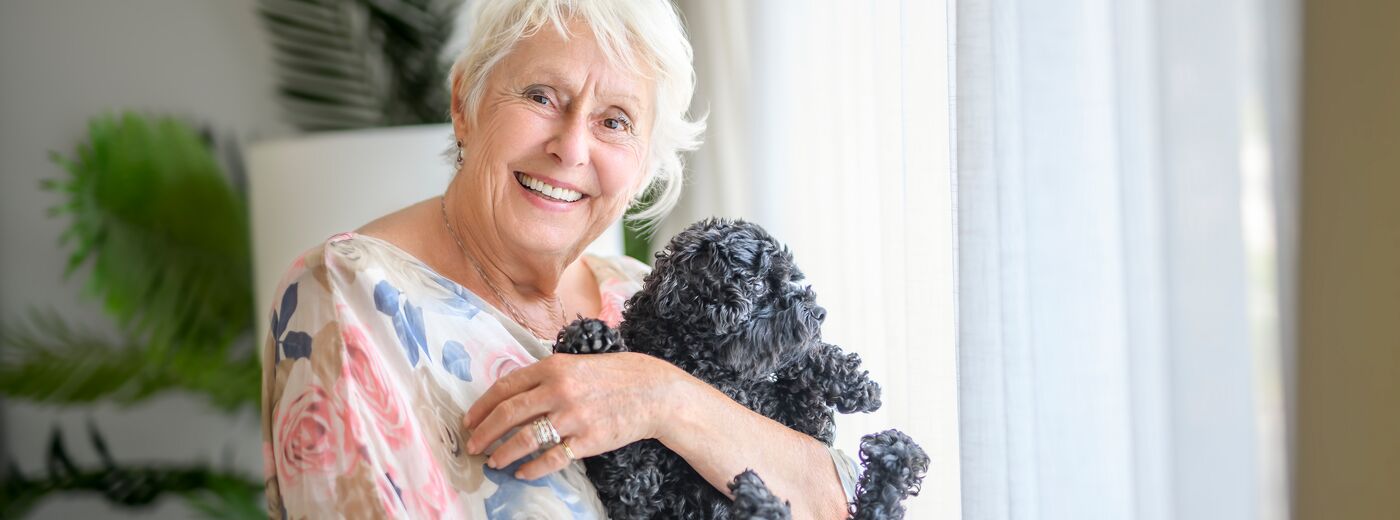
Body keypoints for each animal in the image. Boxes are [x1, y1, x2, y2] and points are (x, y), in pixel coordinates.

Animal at [554, 217, 929, 518]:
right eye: (760, 285)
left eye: (790, 279)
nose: (819, 312)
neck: (710, 368)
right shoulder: (638, 499)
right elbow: (624, 464)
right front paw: (590, 341)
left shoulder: (808, 429)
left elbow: (803, 368)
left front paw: (858, 385)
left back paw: (896, 452)